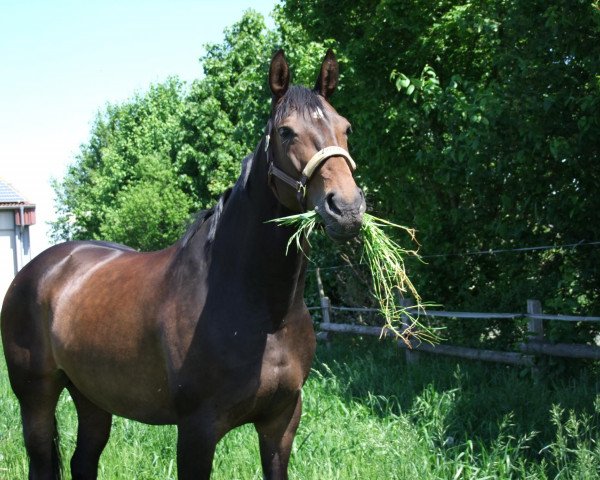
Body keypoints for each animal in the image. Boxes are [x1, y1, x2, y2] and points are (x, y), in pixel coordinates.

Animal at [1, 49, 366, 480]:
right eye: (286, 132)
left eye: (346, 128)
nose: (346, 208)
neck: (260, 311)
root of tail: (38, 269)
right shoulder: (197, 429)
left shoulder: (281, 422)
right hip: (36, 397)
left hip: (91, 395)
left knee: (83, 461)